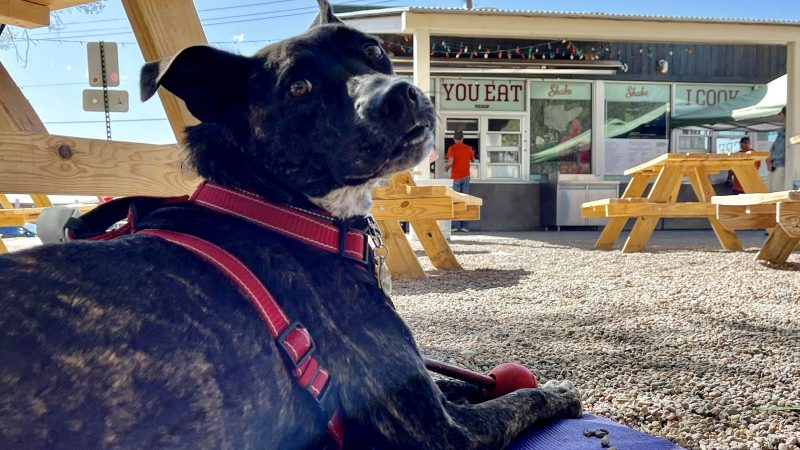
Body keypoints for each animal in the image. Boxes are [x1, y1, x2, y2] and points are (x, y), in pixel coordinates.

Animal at [0, 1, 580, 448]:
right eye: (298, 87)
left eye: (374, 52)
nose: (399, 94)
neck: (280, 207)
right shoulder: (439, 433)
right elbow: (522, 397)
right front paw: (558, 391)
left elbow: (474, 384)